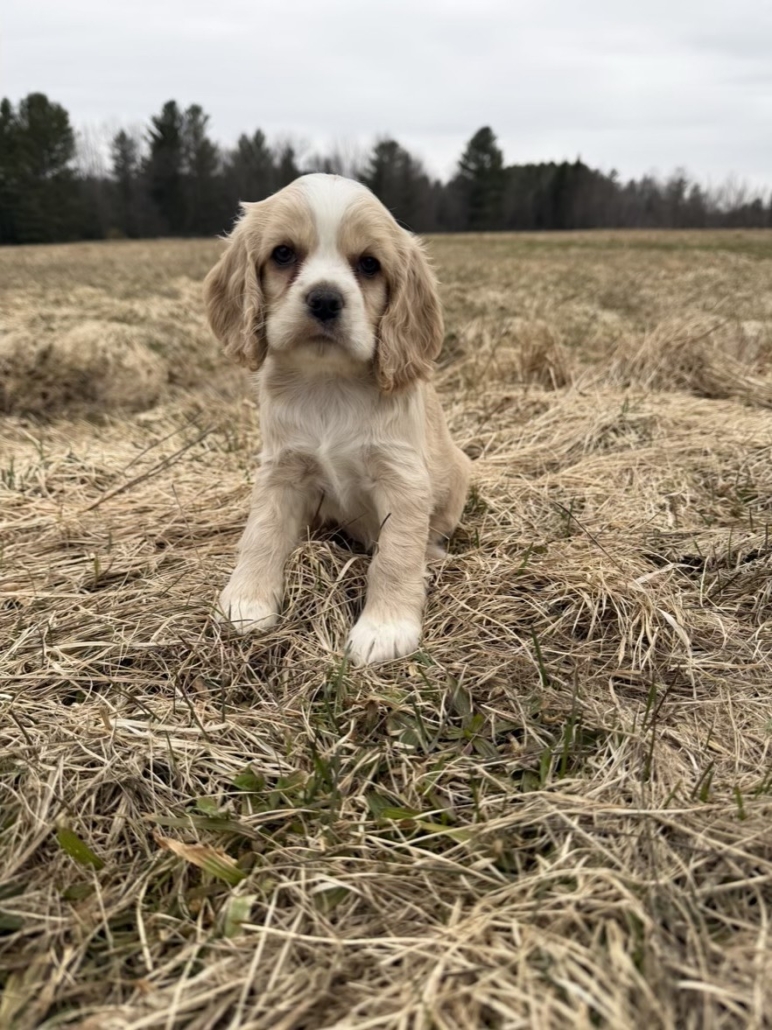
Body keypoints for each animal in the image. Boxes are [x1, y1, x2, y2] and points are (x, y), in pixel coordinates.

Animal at [204, 173, 470, 665]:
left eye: (368, 264)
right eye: (283, 253)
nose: (325, 299)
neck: (329, 385)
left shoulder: (403, 480)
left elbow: (396, 556)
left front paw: (385, 629)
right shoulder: (281, 471)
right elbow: (262, 533)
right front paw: (246, 603)